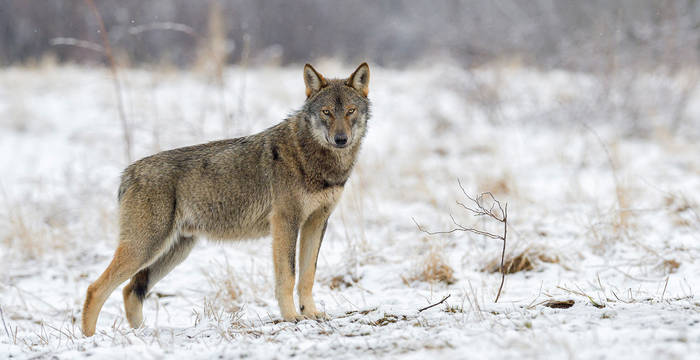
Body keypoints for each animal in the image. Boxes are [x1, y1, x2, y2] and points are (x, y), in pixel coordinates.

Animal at [82, 63, 372, 336]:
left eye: (350, 111)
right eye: (326, 112)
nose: (341, 139)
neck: (315, 159)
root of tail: (127, 173)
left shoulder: (316, 222)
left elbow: (308, 275)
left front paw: (311, 314)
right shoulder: (285, 223)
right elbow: (288, 276)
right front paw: (291, 317)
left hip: (173, 252)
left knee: (130, 291)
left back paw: (141, 335)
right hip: (145, 249)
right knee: (95, 288)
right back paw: (89, 339)